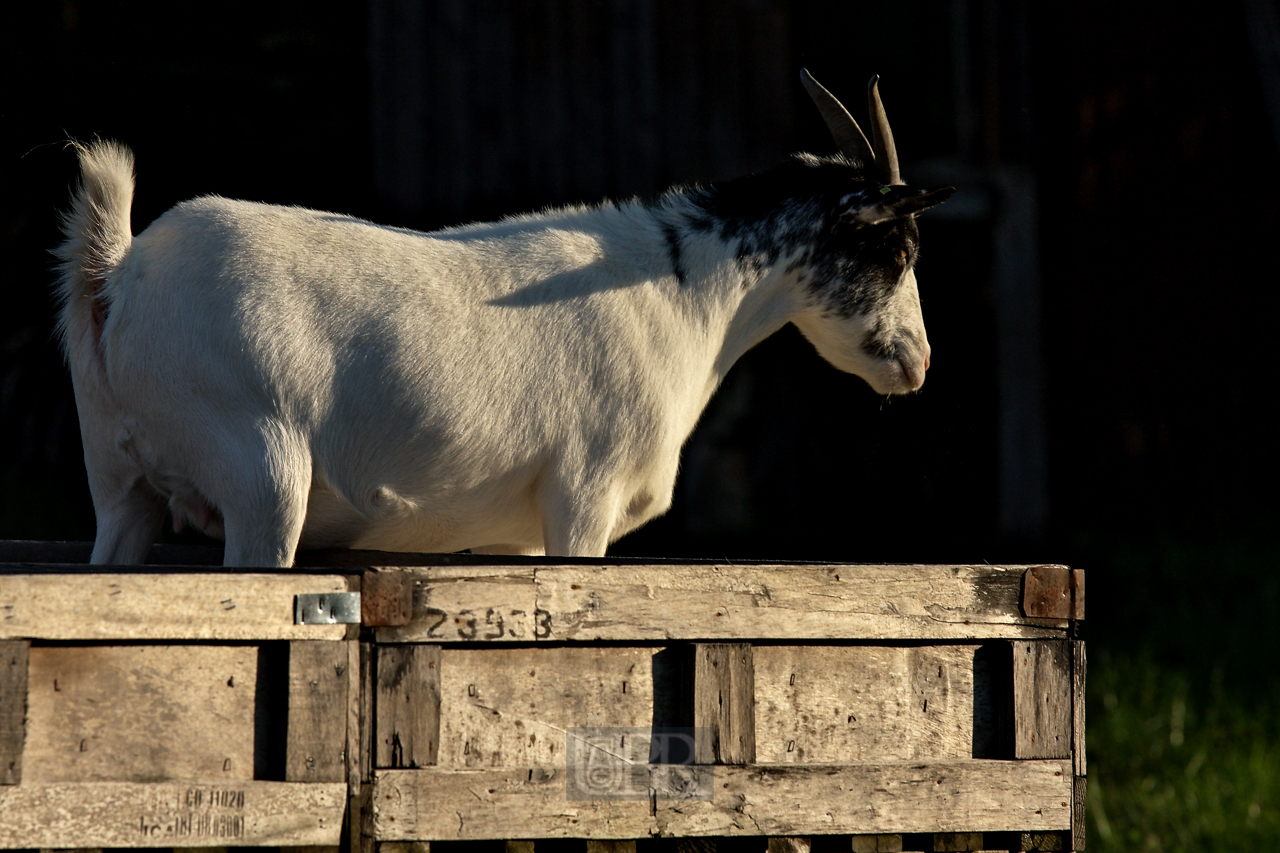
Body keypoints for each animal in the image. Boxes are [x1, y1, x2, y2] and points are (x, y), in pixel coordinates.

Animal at [57, 71, 952, 563]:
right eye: (896, 251)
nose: (917, 363)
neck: (682, 294)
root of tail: (120, 278)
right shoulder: (583, 498)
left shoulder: (512, 535)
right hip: (262, 476)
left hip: (118, 479)